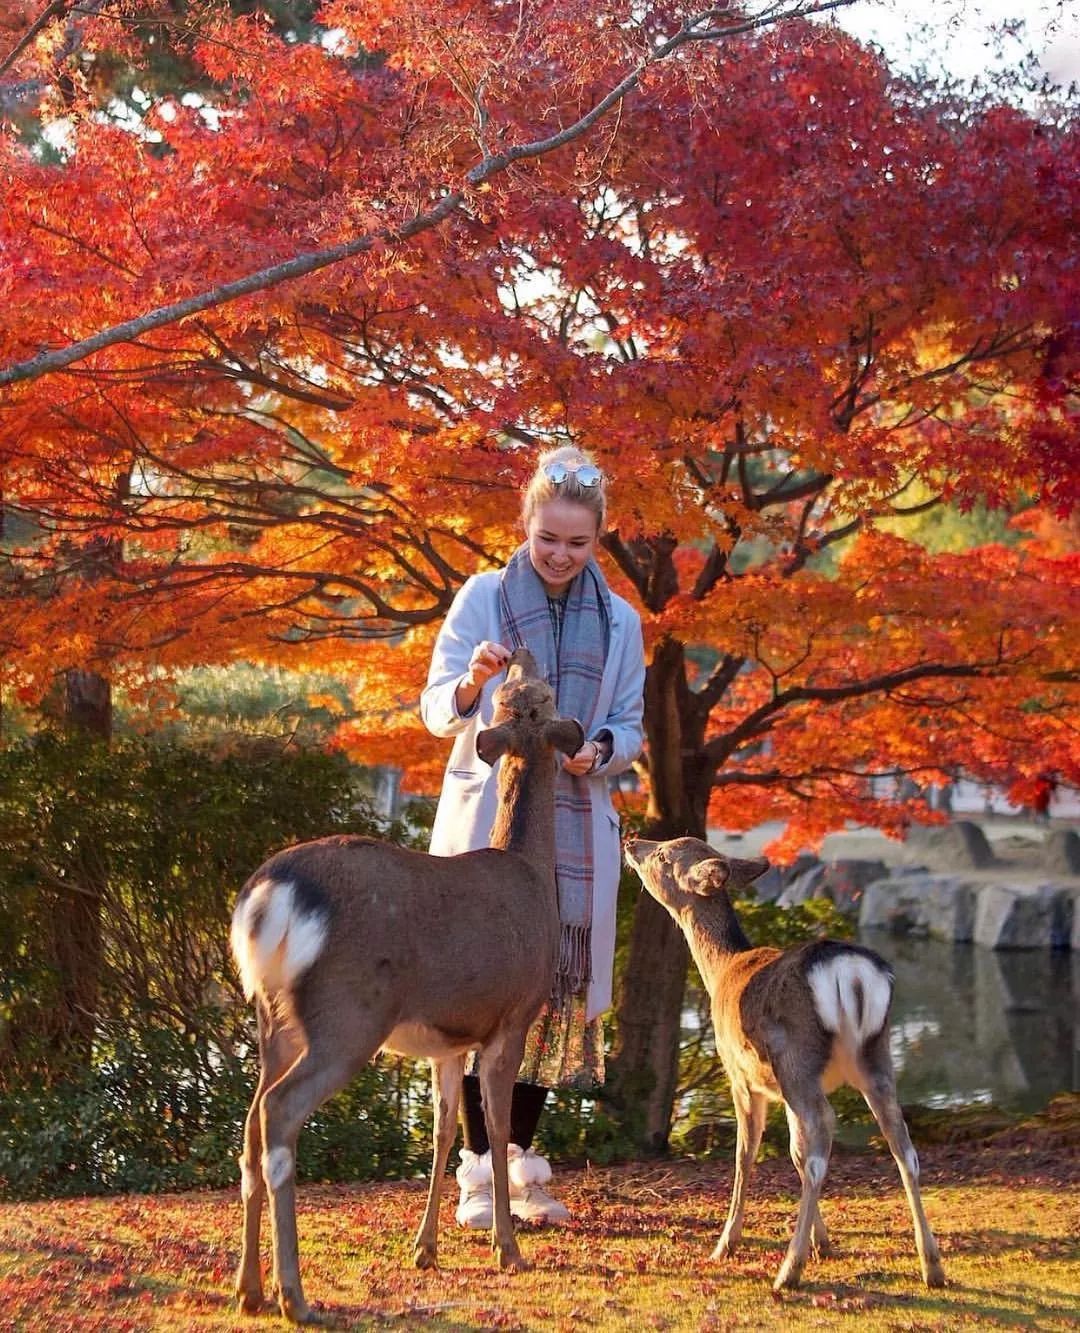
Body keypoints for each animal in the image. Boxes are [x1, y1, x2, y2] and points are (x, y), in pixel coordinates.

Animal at [226, 647, 581, 1322]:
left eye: (523, 691)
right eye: (541, 693)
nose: (517, 652)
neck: (529, 871)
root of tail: (269, 896)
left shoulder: (446, 1038)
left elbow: (443, 1131)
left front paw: (426, 1249)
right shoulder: (512, 1017)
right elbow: (497, 1130)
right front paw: (508, 1250)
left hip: (272, 1018)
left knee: (252, 1122)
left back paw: (248, 1288)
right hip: (348, 1013)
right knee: (280, 1114)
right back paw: (294, 1296)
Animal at [624, 831, 944, 1290]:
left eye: (665, 855)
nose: (632, 841)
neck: (722, 969)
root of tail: (852, 974)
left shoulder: (741, 1077)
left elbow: (746, 1154)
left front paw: (727, 1244)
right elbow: (792, 1151)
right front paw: (822, 1242)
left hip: (797, 1060)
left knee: (820, 1145)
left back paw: (789, 1270)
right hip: (876, 1057)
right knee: (902, 1148)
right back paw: (931, 1266)